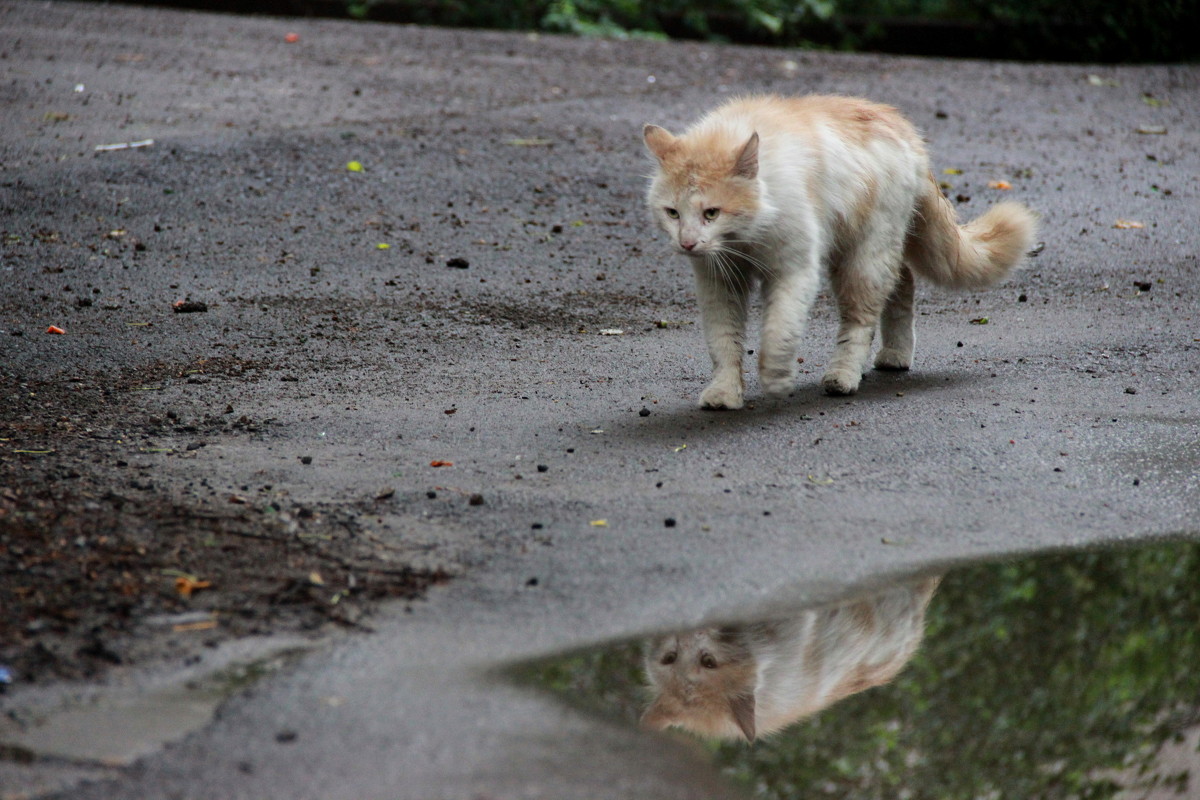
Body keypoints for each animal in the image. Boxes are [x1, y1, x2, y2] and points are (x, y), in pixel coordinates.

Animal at [643, 94, 1036, 410]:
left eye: (711, 213)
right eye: (673, 213)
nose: (687, 243)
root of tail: (907, 132)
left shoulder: (794, 270)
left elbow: (777, 333)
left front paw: (776, 379)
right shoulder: (719, 283)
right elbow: (723, 341)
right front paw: (725, 393)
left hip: (862, 261)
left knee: (861, 321)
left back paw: (843, 376)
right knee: (903, 285)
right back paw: (895, 355)